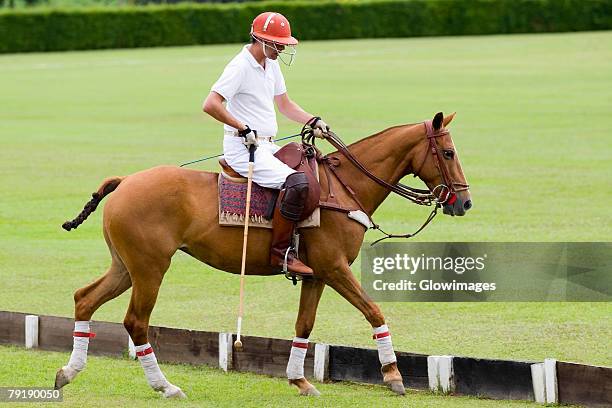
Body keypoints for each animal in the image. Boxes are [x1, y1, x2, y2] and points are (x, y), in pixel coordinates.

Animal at [55, 112, 470, 398]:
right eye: (449, 152)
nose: (464, 202)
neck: (345, 188)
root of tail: (124, 181)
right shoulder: (335, 268)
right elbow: (375, 311)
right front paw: (393, 376)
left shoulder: (317, 274)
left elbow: (304, 325)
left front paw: (299, 380)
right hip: (150, 267)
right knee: (136, 321)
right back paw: (166, 386)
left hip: (125, 265)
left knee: (84, 298)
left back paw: (68, 372)